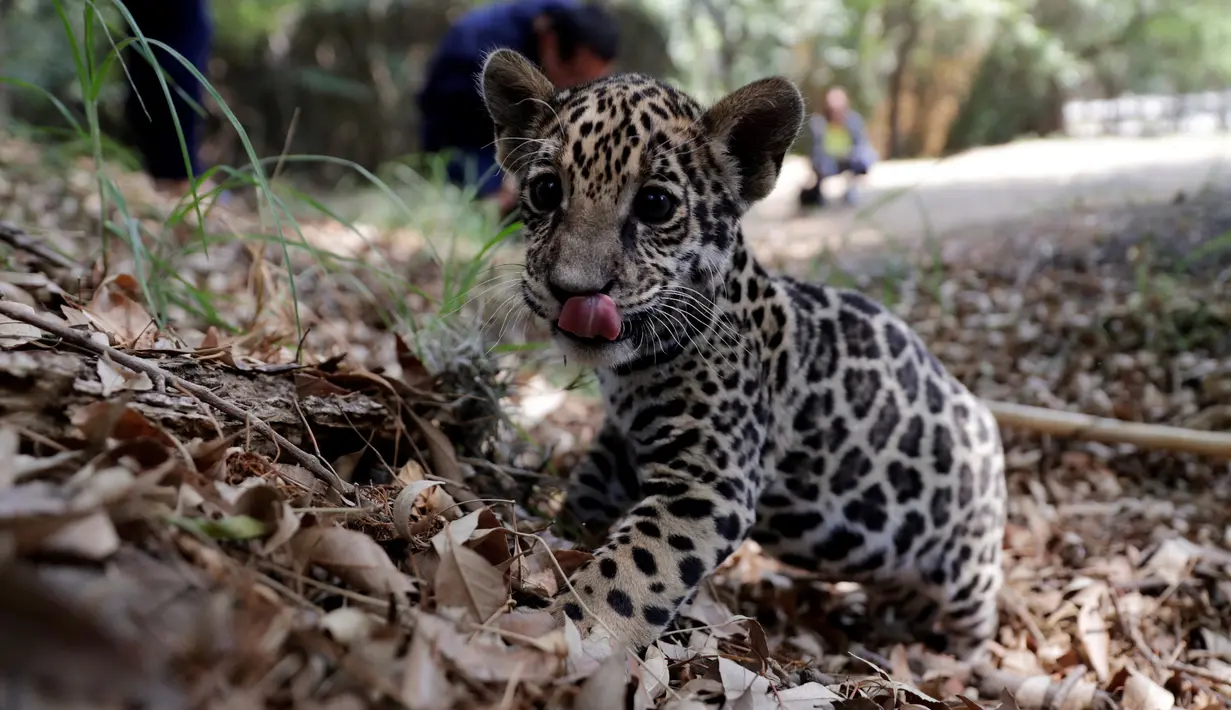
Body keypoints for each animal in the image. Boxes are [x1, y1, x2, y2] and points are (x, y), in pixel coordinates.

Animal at [479, 48, 1007, 660]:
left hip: (968, 569)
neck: (633, 369)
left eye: (655, 204)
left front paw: (570, 633)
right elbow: (588, 488)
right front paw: (558, 534)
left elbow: (628, 574)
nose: (573, 290)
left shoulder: (709, 483)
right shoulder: (622, 442)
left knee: (979, 615)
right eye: (545, 191)